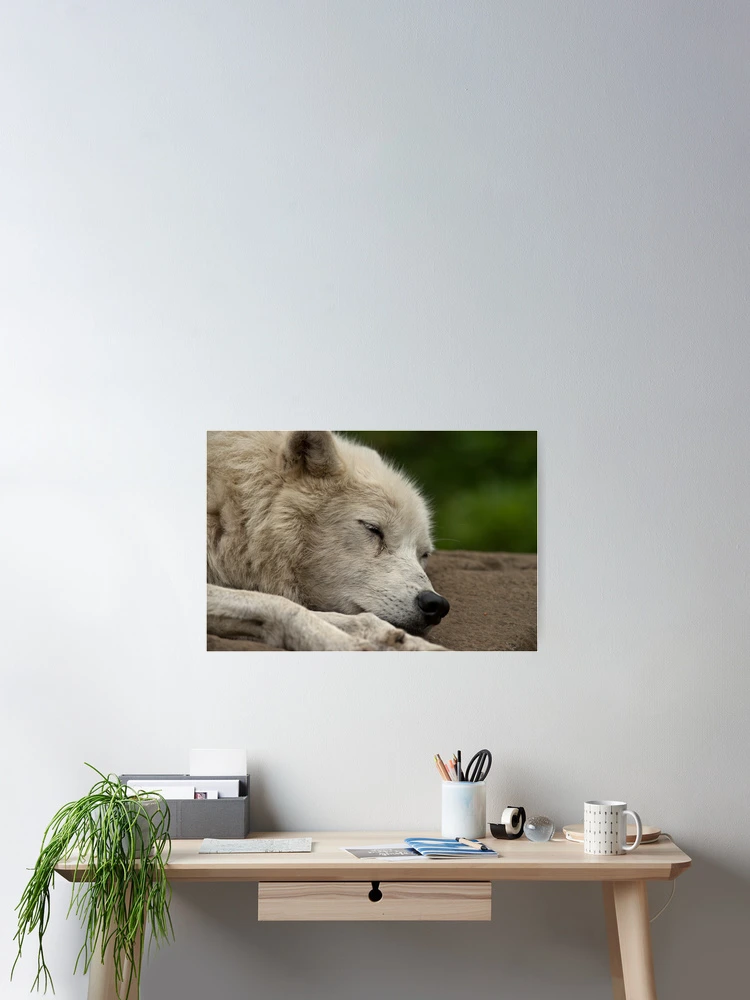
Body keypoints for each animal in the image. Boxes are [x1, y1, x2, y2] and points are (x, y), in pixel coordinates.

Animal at [207, 431, 450, 651]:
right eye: (373, 529)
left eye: (424, 554)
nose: (436, 605)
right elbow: (281, 604)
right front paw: (342, 642)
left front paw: (401, 641)